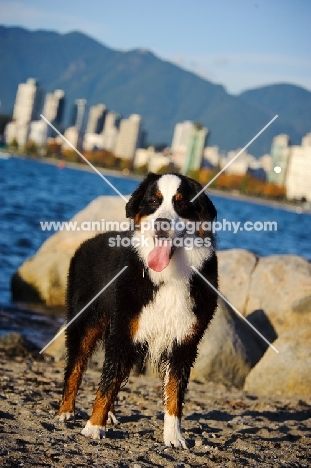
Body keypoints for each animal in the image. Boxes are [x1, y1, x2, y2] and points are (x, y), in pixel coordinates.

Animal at [58, 173, 219, 450]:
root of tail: (89, 241)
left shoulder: (184, 341)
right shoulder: (124, 332)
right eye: (153, 201)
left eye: (181, 203)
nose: (162, 223)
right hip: (86, 323)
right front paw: (93, 427)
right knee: (75, 368)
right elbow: (107, 382)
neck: (168, 275)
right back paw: (66, 411)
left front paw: (174, 436)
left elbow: (175, 393)